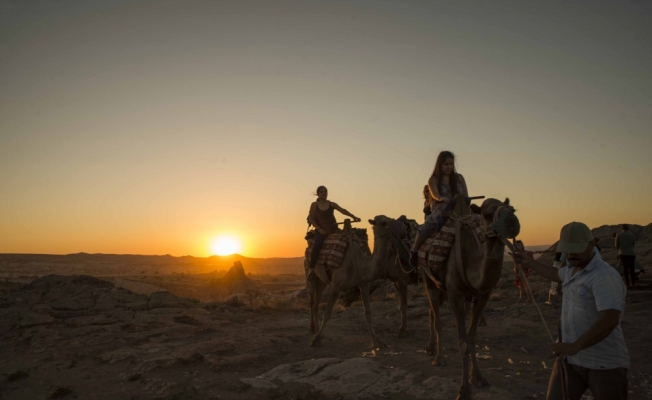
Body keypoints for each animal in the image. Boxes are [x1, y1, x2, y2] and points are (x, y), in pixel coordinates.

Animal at [304, 216, 408, 346]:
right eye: (383, 223)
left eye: (391, 219)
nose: (401, 230)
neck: (359, 263)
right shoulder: (336, 286)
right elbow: (327, 313)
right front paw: (314, 340)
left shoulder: (364, 284)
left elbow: (368, 314)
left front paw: (376, 341)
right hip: (309, 274)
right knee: (311, 300)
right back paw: (312, 329)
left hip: (322, 282)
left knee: (316, 303)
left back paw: (317, 330)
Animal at [418, 195, 520, 398]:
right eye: (487, 214)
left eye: (512, 209)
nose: (511, 221)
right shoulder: (455, 295)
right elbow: (463, 342)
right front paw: (464, 390)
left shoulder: (482, 296)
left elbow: (472, 338)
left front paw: (478, 378)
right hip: (430, 282)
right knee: (437, 318)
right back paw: (438, 357)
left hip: (443, 291)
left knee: (432, 312)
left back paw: (431, 348)